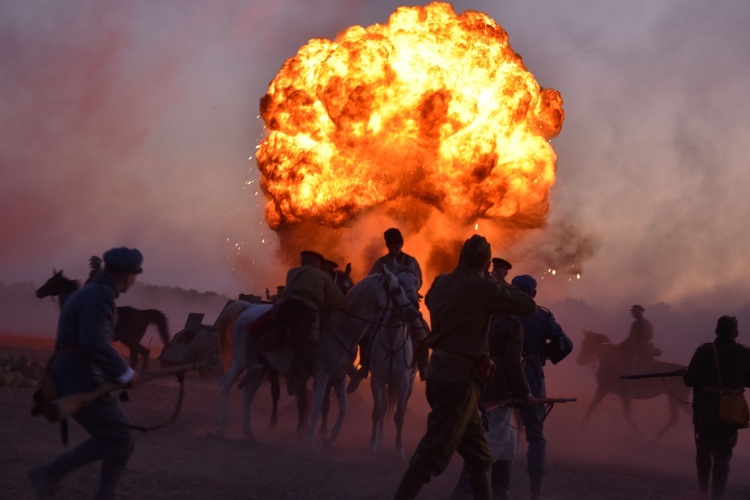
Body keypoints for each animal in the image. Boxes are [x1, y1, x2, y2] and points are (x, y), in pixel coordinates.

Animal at [36, 272, 170, 370]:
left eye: (51, 281)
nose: (38, 292)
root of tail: (142, 313)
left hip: (130, 340)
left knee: (143, 353)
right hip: (132, 341)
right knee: (137, 356)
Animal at [368, 266, 424, 458]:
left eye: (416, 282)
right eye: (398, 284)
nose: (413, 309)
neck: (393, 340)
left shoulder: (402, 382)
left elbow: (399, 414)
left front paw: (399, 448)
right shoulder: (377, 379)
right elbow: (378, 411)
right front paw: (373, 443)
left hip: (410, 383)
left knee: (403, 408)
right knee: (384, 407)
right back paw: (380, 438)